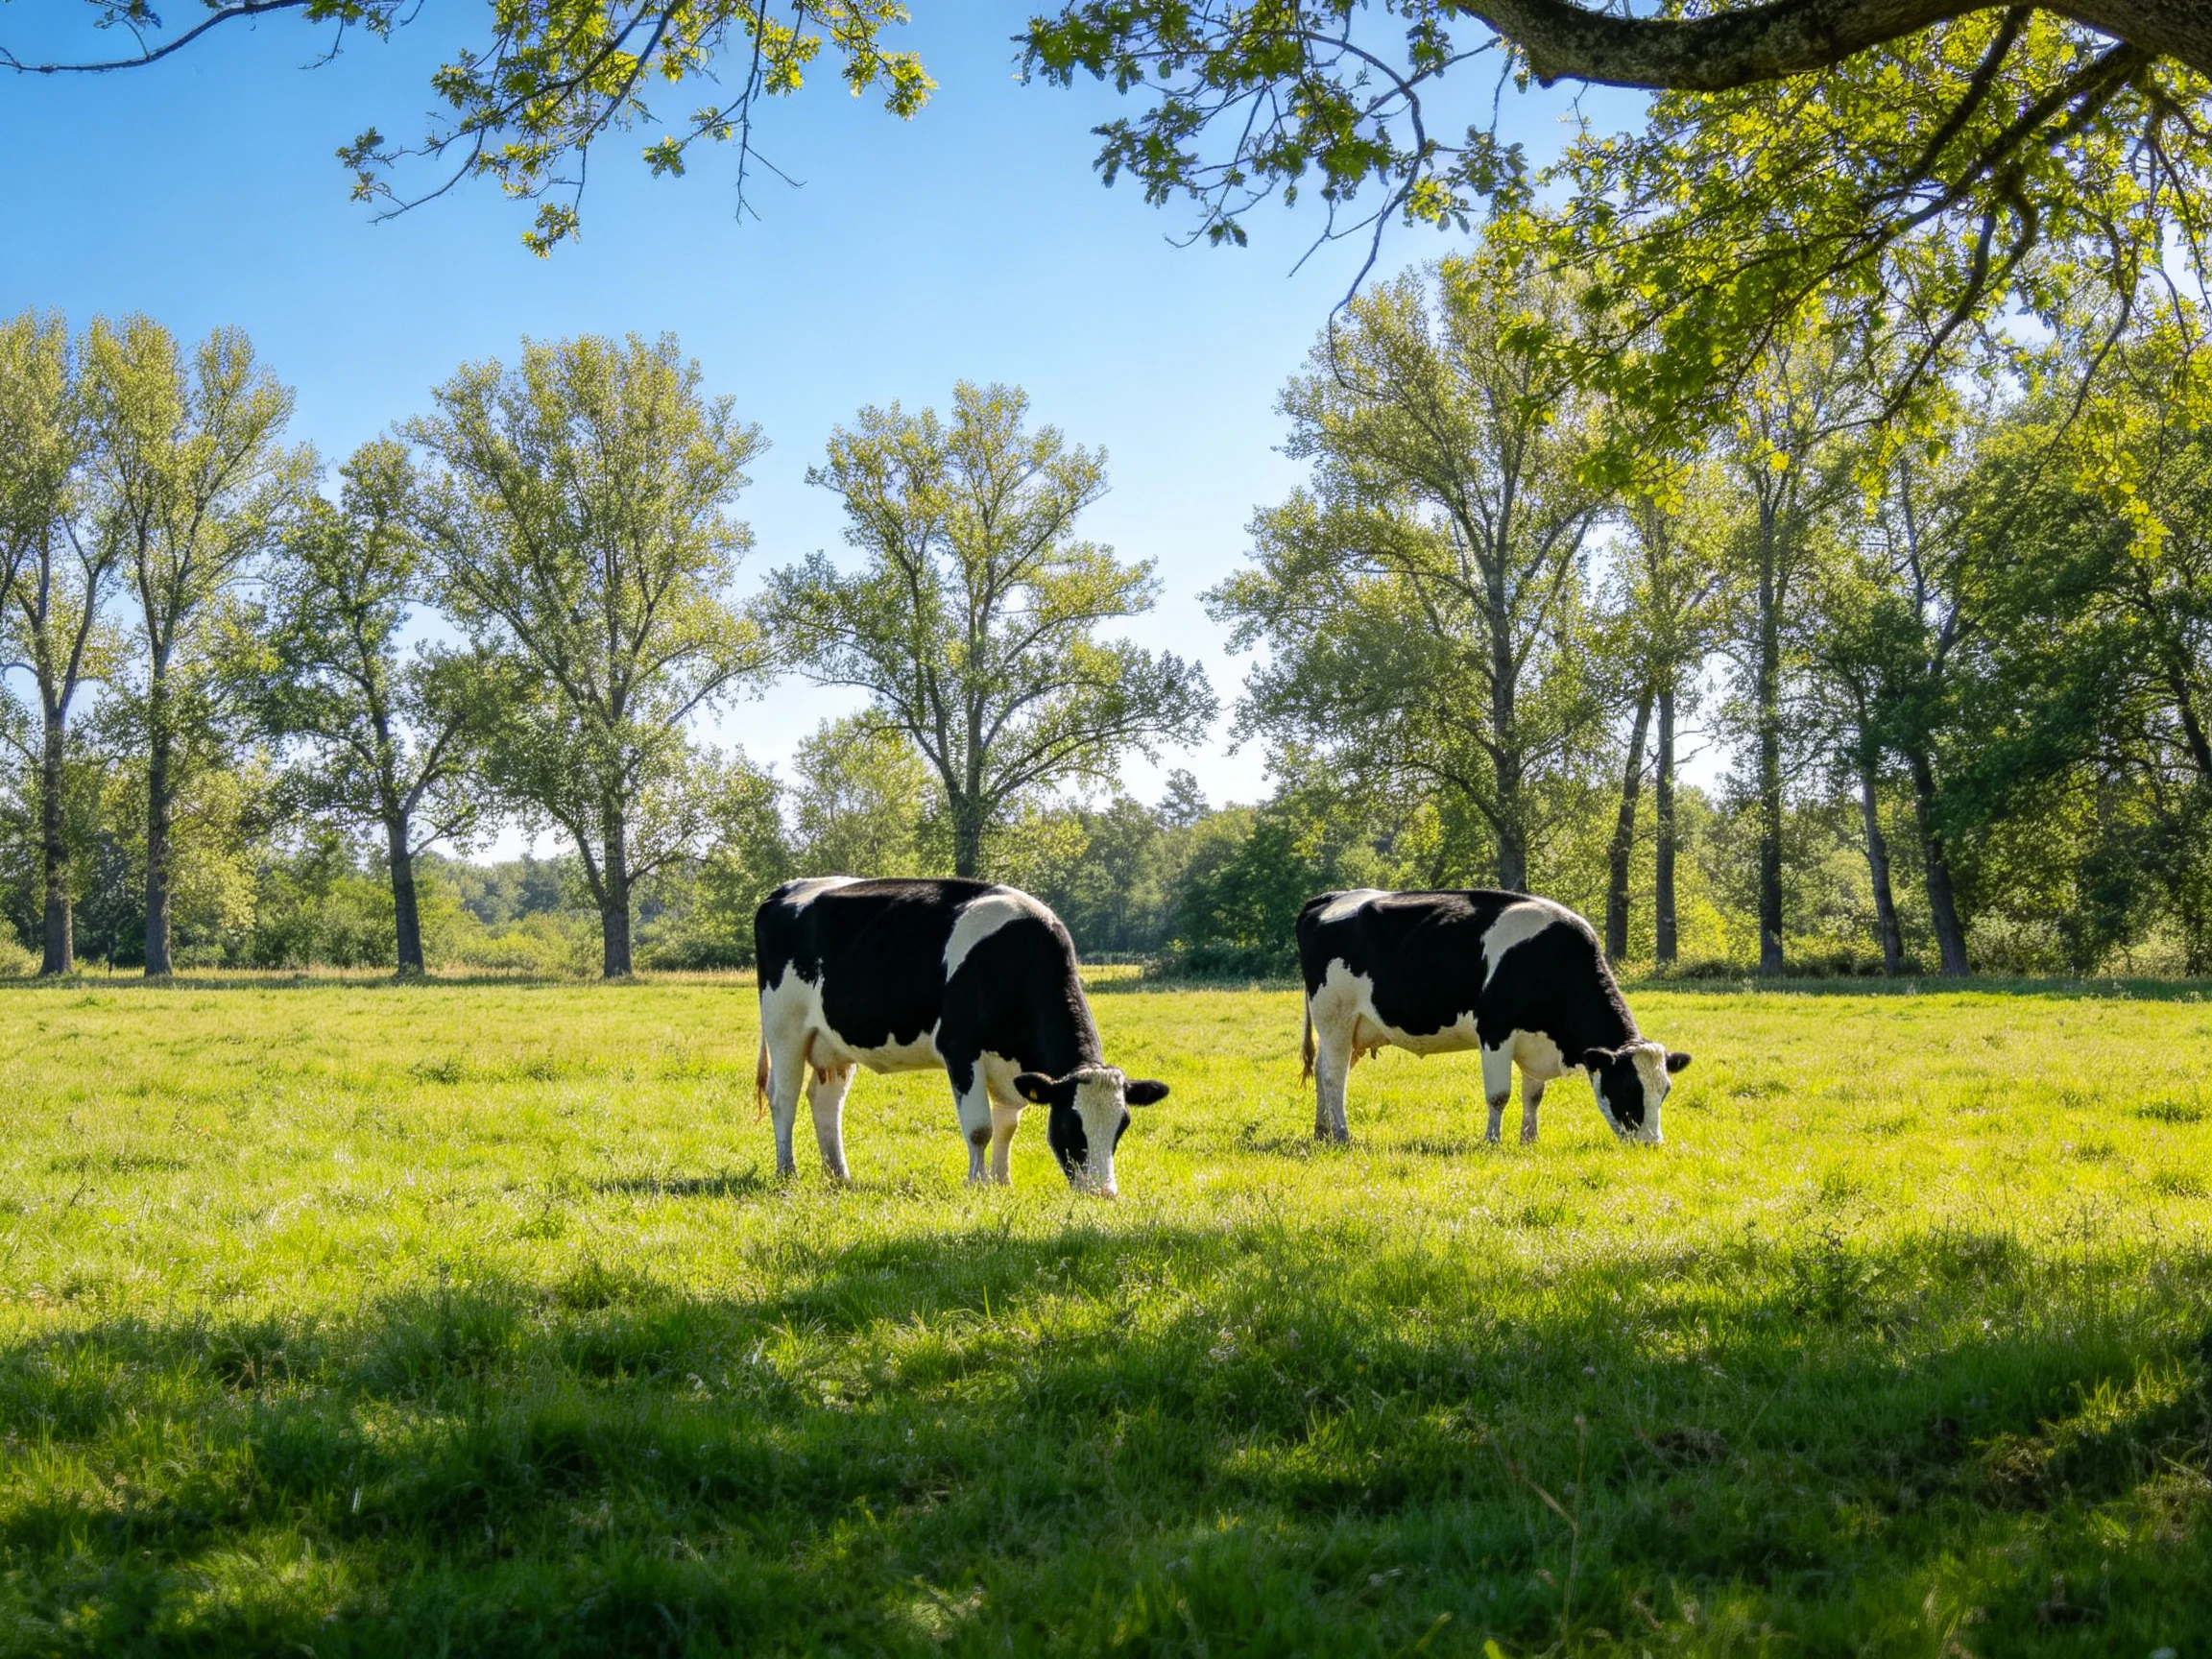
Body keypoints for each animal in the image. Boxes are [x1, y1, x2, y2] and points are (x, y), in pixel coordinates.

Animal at [753, 876, 1169, 1194]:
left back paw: (840, 1176)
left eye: (1122, 1126)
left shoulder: (1014, 1069)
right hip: (784, 1028)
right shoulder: (960, 1050)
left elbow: (1007, 1127)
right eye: (1070, 1124)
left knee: (826, 1101)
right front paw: (977, 1183)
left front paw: (1002, 1182)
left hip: (834, 1042)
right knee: (784, 1097)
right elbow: (981, 1129)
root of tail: (785, 890)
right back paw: (787, 1171)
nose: (1104, 1193)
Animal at [1297, 888, 1690, 1146]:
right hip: (1335, 1016)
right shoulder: (1495, 1032)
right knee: (1334, 1076)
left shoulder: (1535, 1040)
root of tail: (1328, 899)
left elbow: (1533, 1094)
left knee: (1323, 1071)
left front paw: (1529, 1139)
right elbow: (1499, 1095)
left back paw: (1321, 1131)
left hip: (1348, 1028)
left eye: (1665, 1090)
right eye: (1629, 1087)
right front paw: (1492, 1141)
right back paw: (1342, 1135)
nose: (1652, 1143)